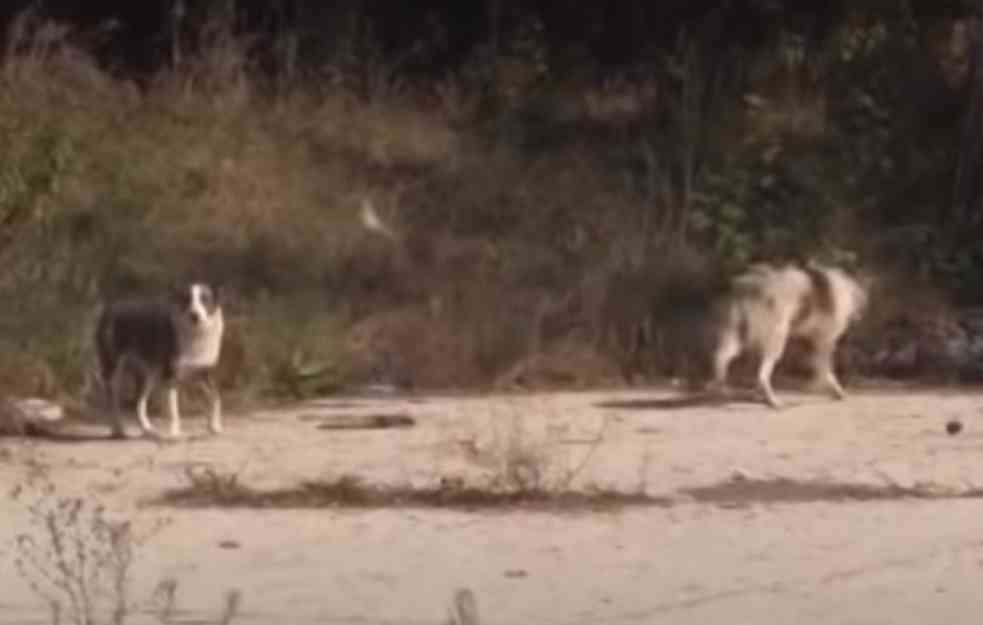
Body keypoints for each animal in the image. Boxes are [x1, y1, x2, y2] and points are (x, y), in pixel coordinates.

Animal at [96, 282, 225, 438]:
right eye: (186, 299)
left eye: (205, 299)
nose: (194, 315)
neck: (196, 333)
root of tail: (110, 307)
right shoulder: (170, 376)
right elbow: (173, 410)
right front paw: (174, 433)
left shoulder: (205, 373)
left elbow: (216, 398)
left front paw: (214, 426)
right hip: (114, 369)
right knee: (113, 399)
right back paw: (118, 428)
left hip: (149, 374)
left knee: (138, 402)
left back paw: (147, 428)